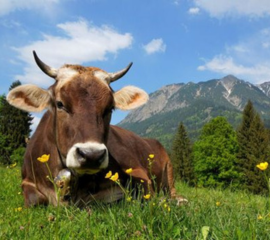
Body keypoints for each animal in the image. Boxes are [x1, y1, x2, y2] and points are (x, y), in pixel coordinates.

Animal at [7, 51, 187, 207]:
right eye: (60, 104)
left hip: (169, 170)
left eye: (110, 108)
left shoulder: (138, 172)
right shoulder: (27, 179)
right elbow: (35, 199)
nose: (91, 155)